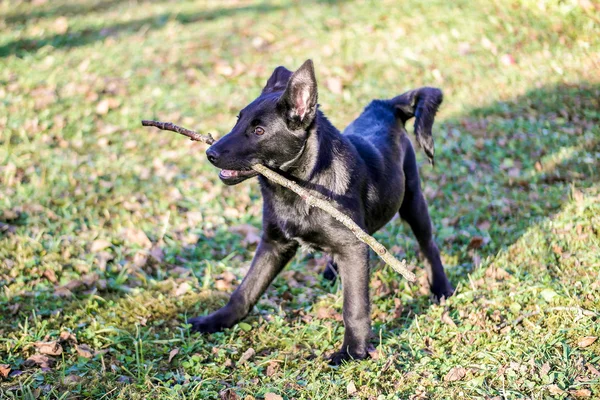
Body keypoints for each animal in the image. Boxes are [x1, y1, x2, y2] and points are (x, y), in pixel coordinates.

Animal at [190, 60, 452, 366]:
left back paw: (441, 288)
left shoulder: (352, 246)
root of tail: (383, 105)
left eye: (259, 131)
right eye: (237, 120)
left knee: (427, 244)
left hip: (412, 200)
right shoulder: (274, 243)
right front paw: (216, 321)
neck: (301, 186)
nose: (210, 153)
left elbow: (354, 306)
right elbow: (245, 290)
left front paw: (352, 351)